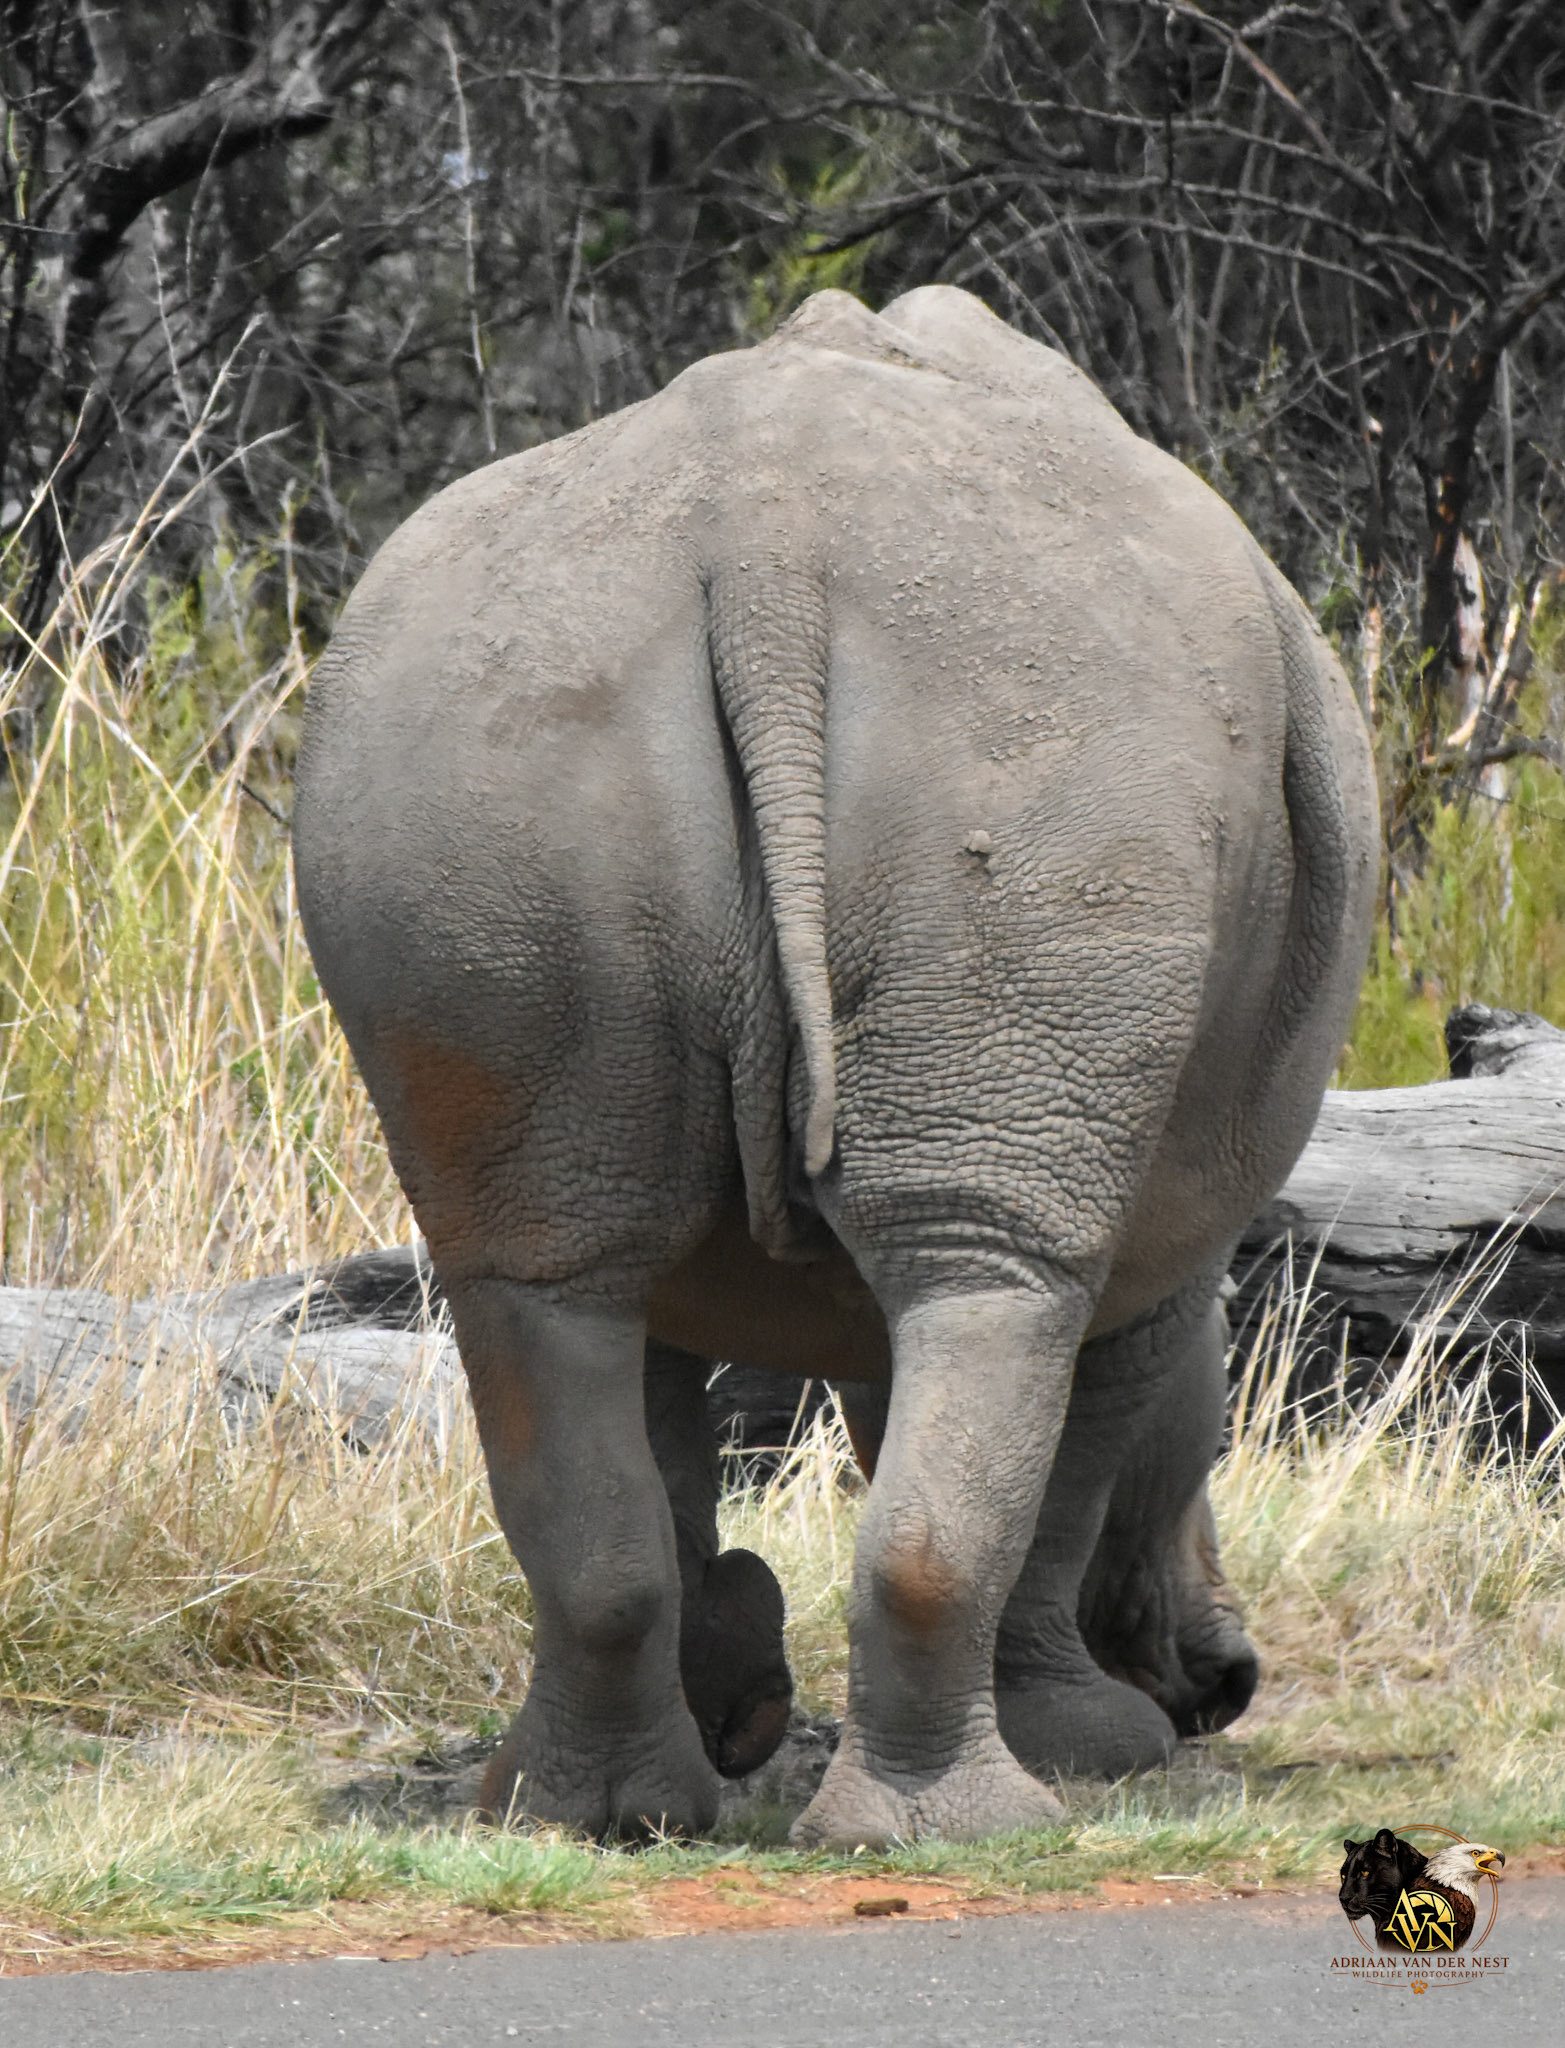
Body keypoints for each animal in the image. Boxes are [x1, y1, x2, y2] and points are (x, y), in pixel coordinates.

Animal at [293, 286, 1377, 1848]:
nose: (1227, 1681)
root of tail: (762, 538)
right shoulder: (1163, 1233)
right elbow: (1088, 1433)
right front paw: (1092, 1743)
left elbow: (684, 1413)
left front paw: (738, 1697)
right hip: (1043, 730)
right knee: (996, 1281)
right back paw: (974, 1828)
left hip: (462, 758)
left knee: (543, 1282)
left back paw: (582, 1816)